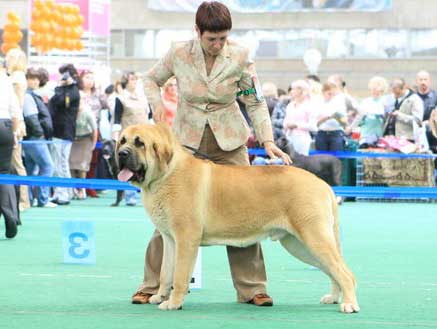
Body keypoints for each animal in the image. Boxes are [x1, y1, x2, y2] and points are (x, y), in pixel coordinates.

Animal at [115, 123, 358, 312]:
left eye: (140, 143)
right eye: (122, 141)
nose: (121, 154)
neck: (165, 174)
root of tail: (323, 184)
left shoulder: (186, 239)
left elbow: (180, 275)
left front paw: (173, 303)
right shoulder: (170, 239)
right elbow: (166, 272)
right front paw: (159, 296)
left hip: (314, 238)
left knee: (345, 272)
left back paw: (348, 304)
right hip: (299, 245)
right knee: (333, 270)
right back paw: (334, 297)